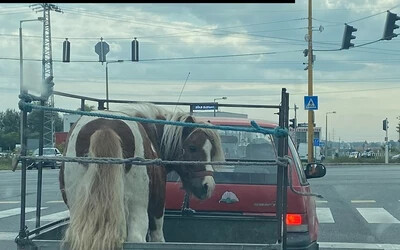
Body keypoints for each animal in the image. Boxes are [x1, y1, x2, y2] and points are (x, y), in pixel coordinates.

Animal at [58, 105, 225, 250]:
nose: (208, 186)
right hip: (137, 209)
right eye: (192, 147)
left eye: (211, 151)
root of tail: (105, 128)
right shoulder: (157, 208)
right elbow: (157, 238)